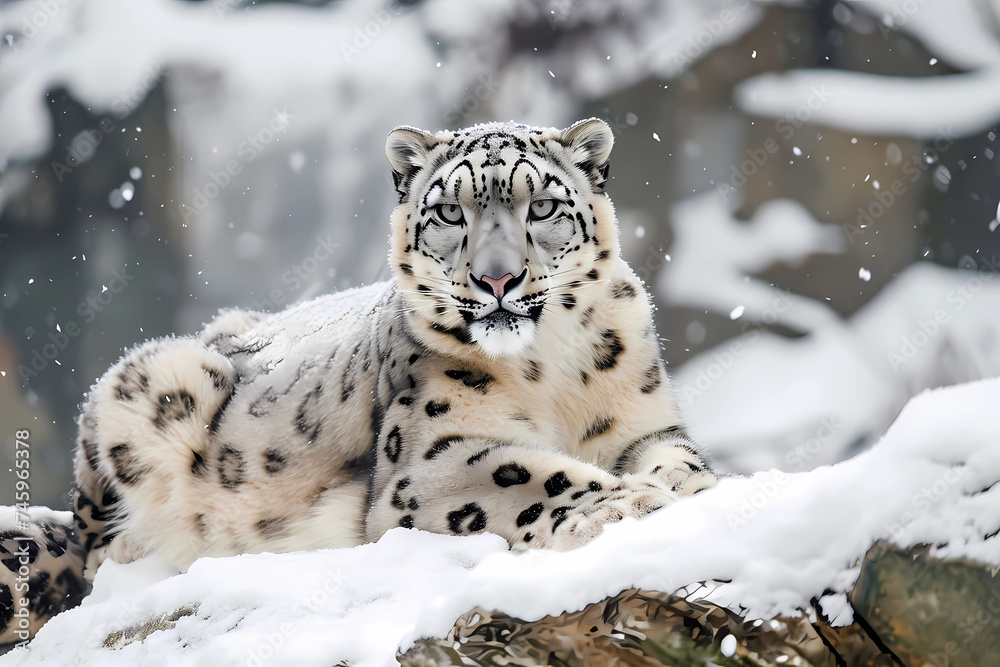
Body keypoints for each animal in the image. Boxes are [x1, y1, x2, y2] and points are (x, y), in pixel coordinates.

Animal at [0, 118, 717, 644]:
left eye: (541, 206)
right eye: (449, 214)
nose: (496, 277)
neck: (551, 367)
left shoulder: (642, 422)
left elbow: (678, 458)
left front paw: (685, 489)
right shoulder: (426, 462)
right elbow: (533, 474)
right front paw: (629, 503)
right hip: (154, 378)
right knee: (92, 547)